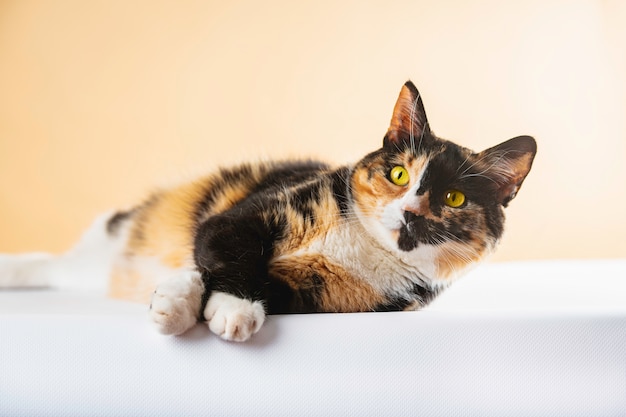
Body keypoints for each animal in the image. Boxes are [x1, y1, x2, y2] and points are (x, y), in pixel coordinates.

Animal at [1, 81, 536, 342]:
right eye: (400, 174)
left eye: (455, 199)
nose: (409, 213)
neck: (362, 245)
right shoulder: (253, 211)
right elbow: (224, 248)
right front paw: (196, 304)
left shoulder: (343, 300)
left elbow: (263, 284)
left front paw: (220, 309)